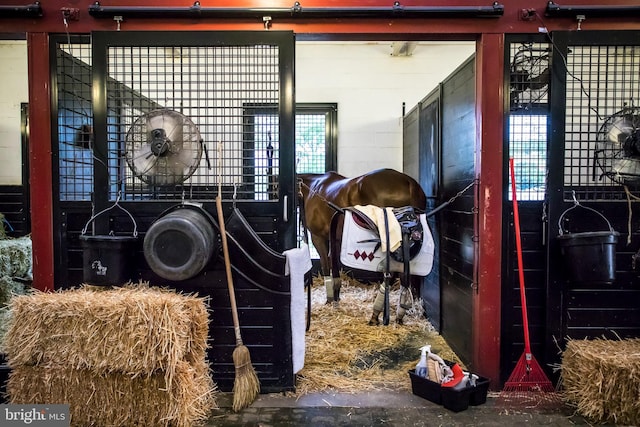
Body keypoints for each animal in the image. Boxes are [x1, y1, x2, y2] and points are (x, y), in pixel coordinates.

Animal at [298, 169, 428, 326]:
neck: (312, 188)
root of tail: (409, 183)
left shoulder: (318, 238)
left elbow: (325, 265)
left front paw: (329, 299)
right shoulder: (335, 239)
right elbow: (334, 265)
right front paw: (336, 297)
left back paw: (376, 314)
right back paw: (399, 315)